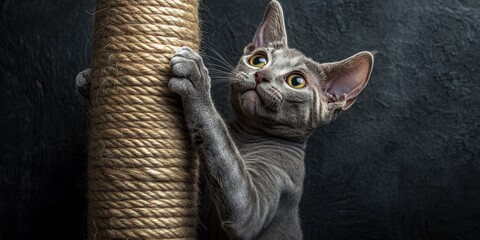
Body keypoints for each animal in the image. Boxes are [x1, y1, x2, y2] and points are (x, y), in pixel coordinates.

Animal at [76, 0, 376, 239]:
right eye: (259, 60)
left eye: (296, 81)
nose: (261, 75)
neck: (243, 138)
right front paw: (93, 79)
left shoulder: (263, 195)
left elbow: (219, 142)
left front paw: (196, 79)